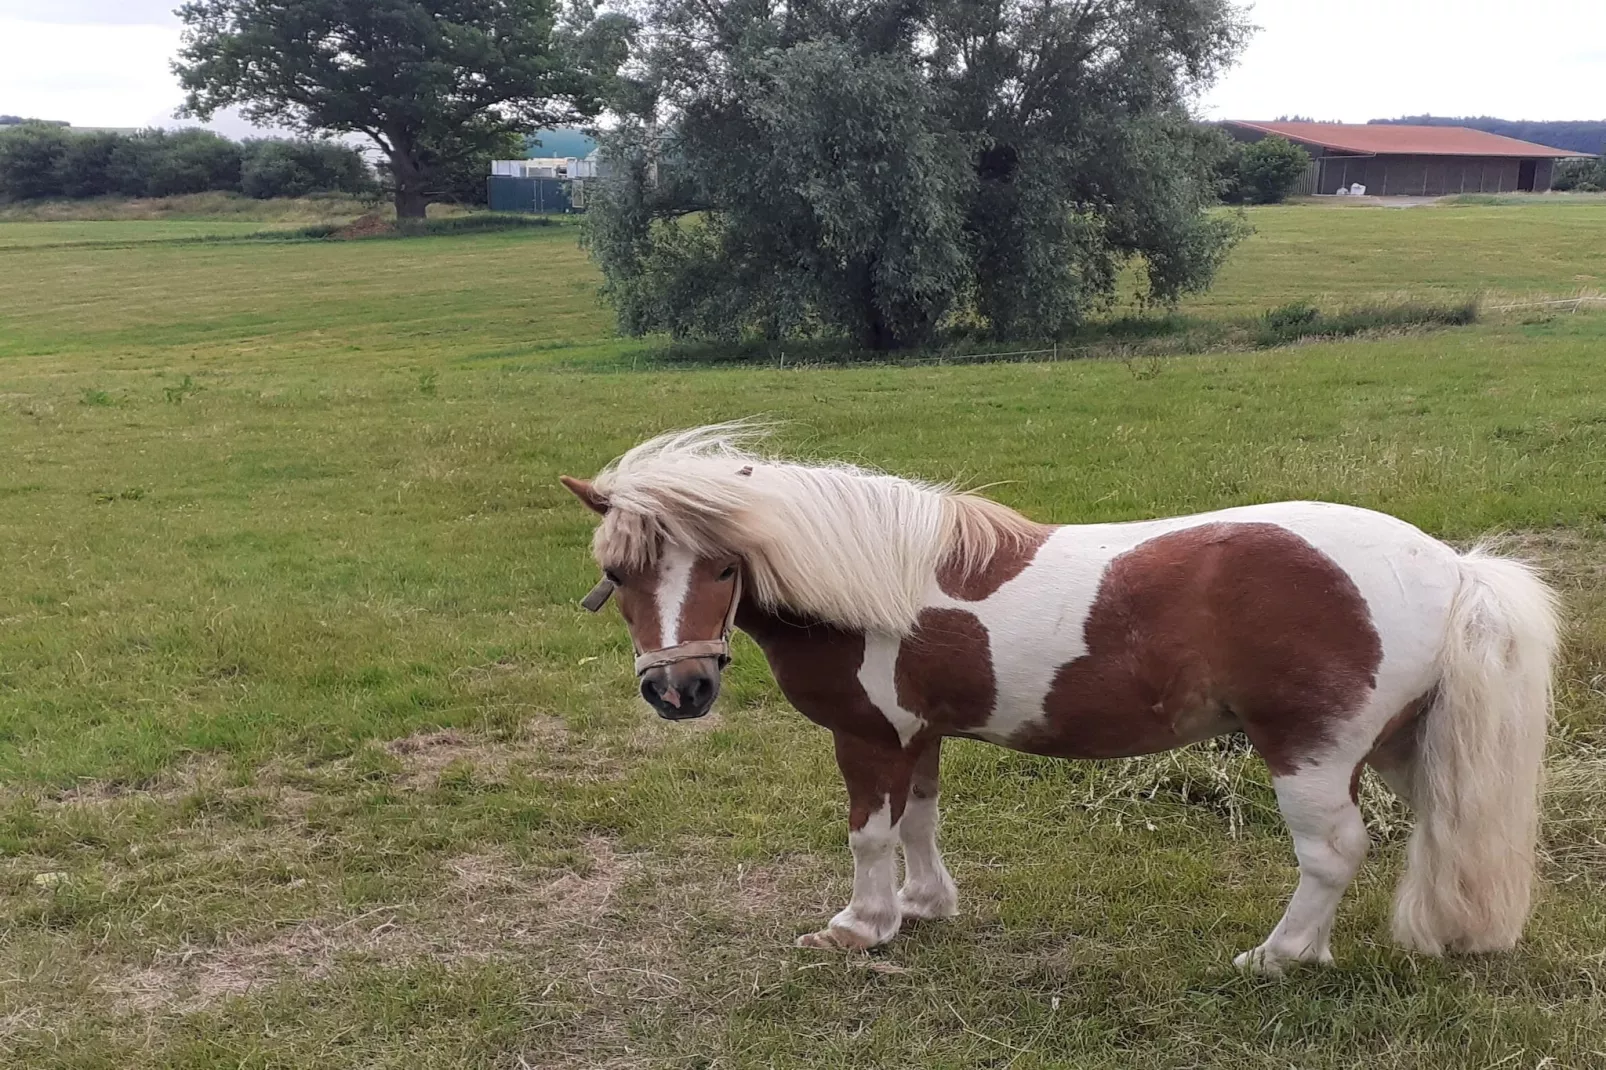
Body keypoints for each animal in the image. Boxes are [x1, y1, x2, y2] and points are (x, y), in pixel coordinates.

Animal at [562, 424, 1554, 963]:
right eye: (618, 574)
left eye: (724, 567)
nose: (680, 690)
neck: (874, 582)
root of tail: (1451, 565)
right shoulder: (921, 735)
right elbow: (921, 821)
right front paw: (923, 908)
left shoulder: (870, 736)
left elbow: (870, 833)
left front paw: (860, 927)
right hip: (1401, 747)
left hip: (1311, 755)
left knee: (1333, 853)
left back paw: (1280, 957)